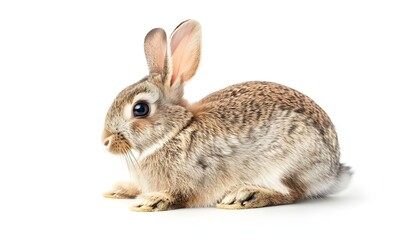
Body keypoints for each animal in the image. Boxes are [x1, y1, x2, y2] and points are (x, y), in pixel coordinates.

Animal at [101, 20, 352, 212]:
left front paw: (151, 201)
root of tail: (332, 171)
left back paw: (245, 195)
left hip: (288, 163)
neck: (176, 131)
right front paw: (119, 190)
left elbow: (180, 195)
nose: (105, 141)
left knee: (292, 193)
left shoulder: (194, 180)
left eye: (140, 109)